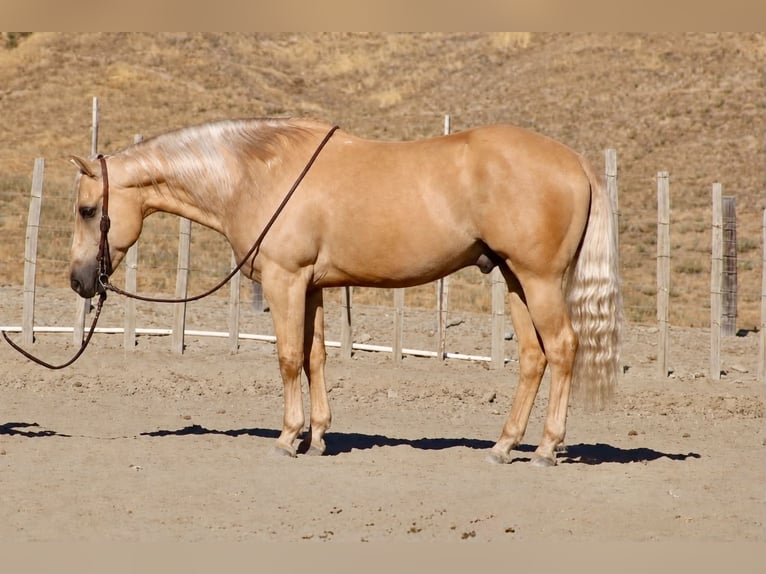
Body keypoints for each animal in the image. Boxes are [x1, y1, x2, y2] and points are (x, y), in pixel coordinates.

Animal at [69, 117, 622, 466]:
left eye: (87, 210)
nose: (78, 280)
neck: (259, 174)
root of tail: (574, 161)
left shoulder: (285, 280)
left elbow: (289, 358)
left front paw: (287, 438)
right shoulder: (311, 286)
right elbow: (315, 357)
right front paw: (316, 438)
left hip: (539, 280)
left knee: (563, 349)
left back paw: (546, 449)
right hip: (514, 279)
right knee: (533, 357)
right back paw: (504, 446)